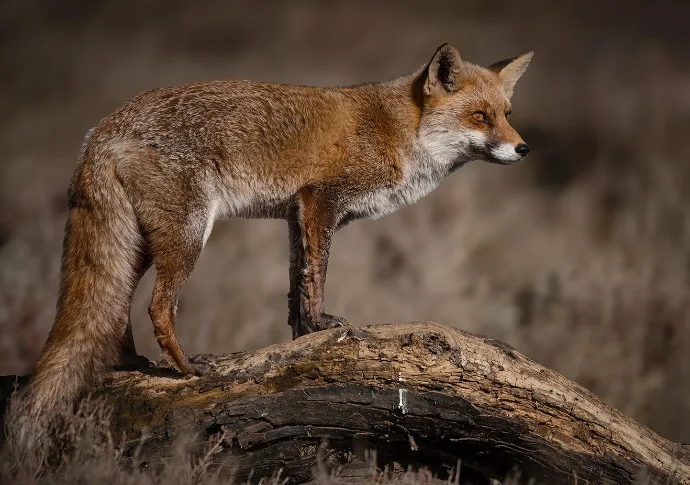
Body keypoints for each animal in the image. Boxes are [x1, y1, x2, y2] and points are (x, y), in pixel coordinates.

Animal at [7, 43, 532, 460]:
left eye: (507, 113)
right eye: (480, 116)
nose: (523, 149)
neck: (398, 129)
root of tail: (102, 129)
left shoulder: (295, 215)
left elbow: (296, 284)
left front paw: (302, 342)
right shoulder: (321, 201)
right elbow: (317, 276)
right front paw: (321, 328)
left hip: (140, 245)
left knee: (116, 311)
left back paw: (132, 364)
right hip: (188, 234)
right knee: (157, 307)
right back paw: (186, 370)